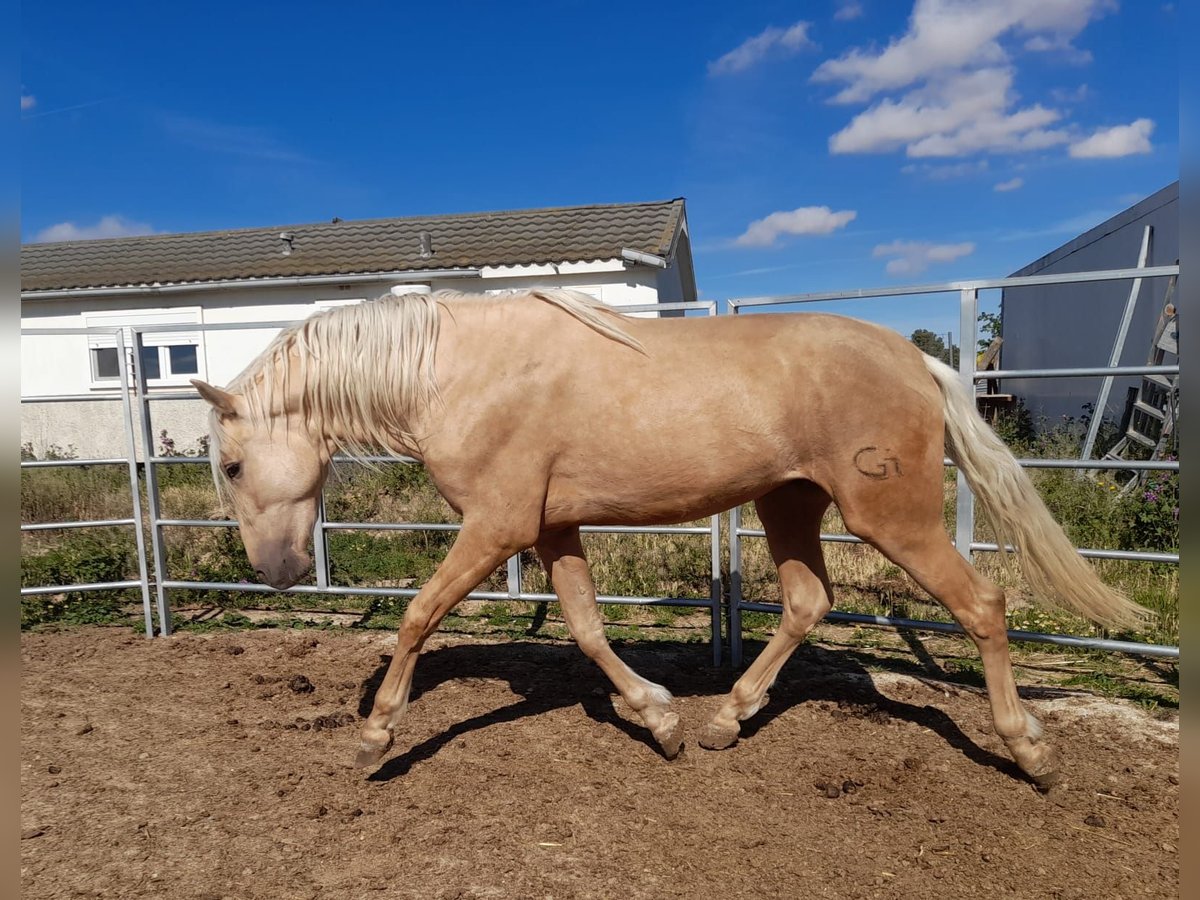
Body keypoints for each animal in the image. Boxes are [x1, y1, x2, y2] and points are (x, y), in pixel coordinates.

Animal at [194, 285, 1142, 787]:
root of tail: (919, 361)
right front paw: (659, 721)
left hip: (890, 517)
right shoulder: (553, 525)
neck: (457, 373)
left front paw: (377, 736)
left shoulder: (498, 524)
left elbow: (419, 615)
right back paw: (726, 719)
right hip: (790, 505)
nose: (276, 572)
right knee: (808, 601)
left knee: (983, 603)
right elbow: (585, 626)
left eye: (233, 466)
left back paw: (1029, 750)